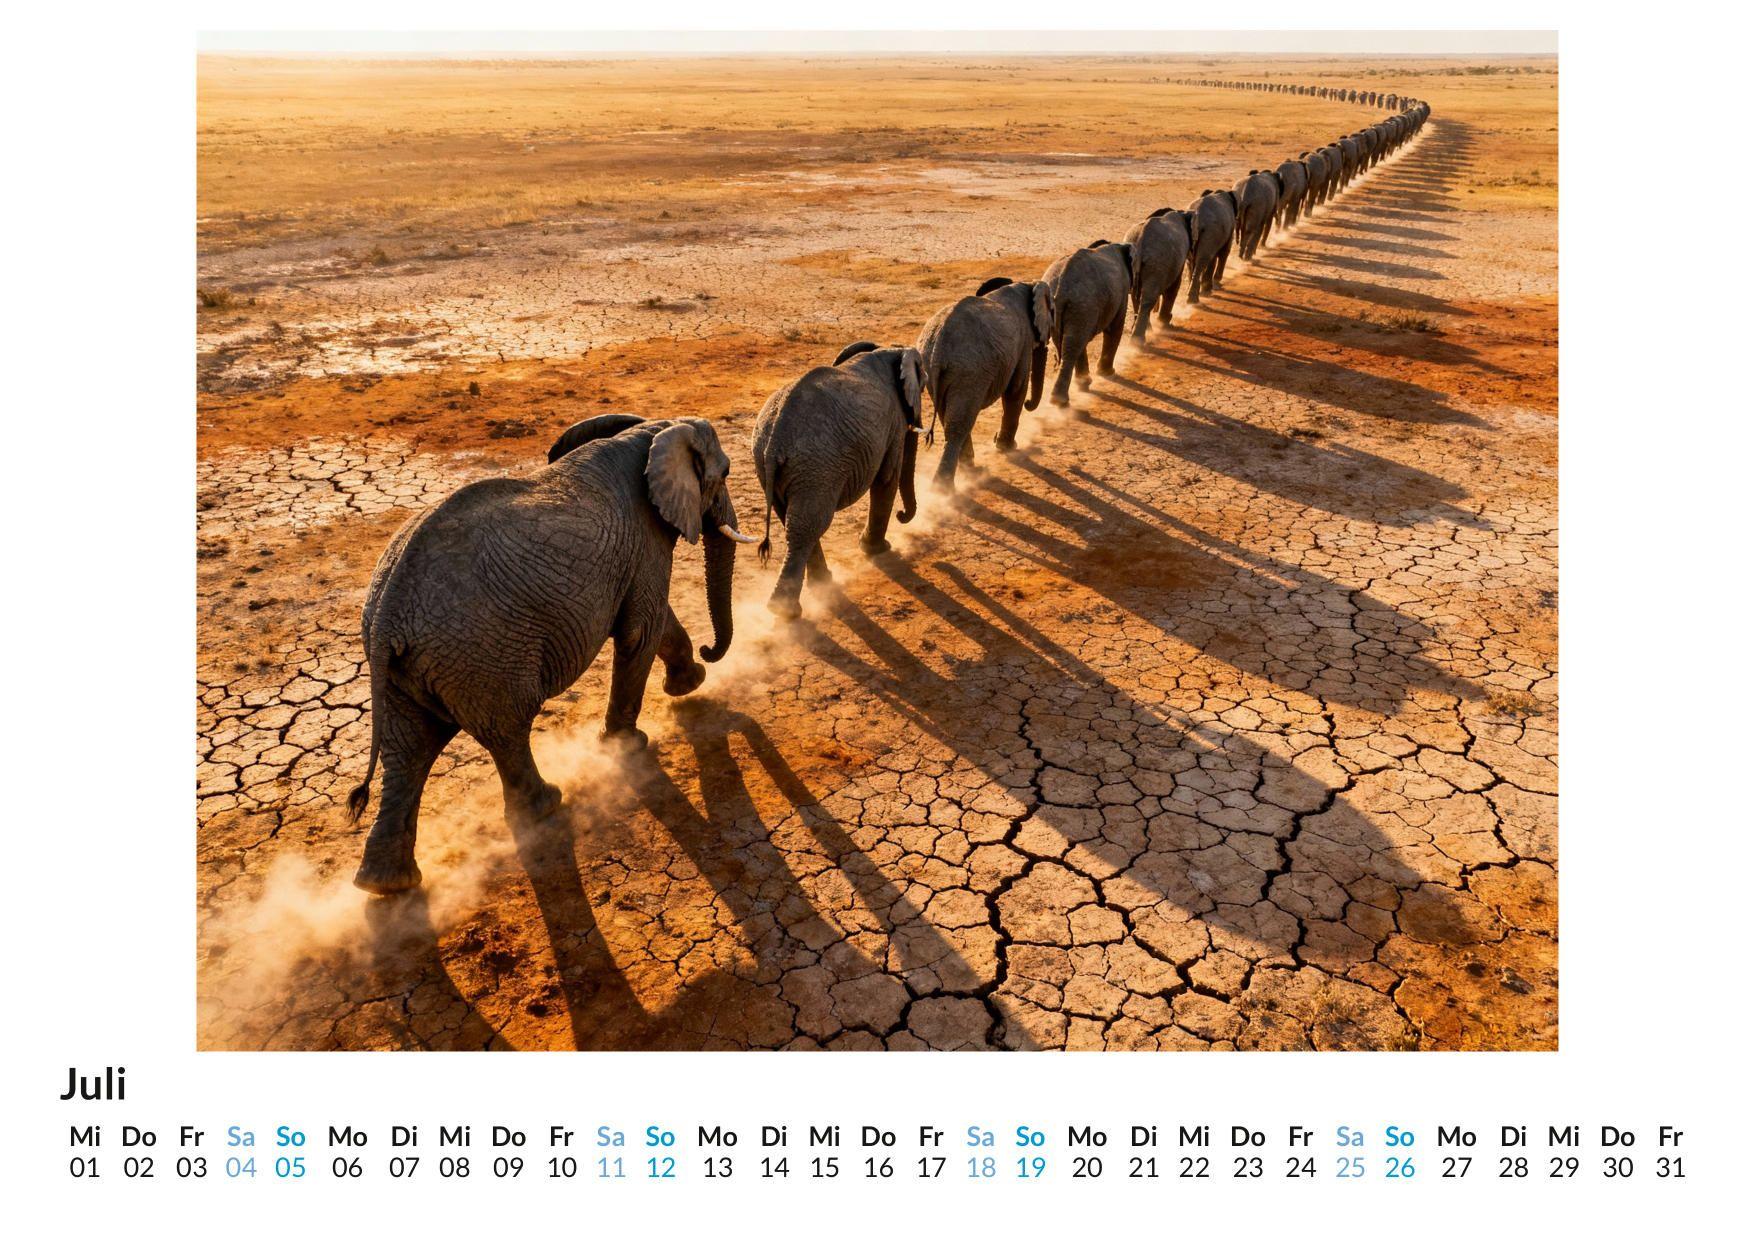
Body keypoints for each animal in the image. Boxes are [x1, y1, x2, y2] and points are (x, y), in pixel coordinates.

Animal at [347, 414, 753, 894]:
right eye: (726, 473)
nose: (712, 651)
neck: (652, 429)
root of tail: (386, 616)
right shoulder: (644, 536)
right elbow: (642, 630)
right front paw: (628, 747)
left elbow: (654, 620)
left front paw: (690, 685)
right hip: (483, 656)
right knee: (506, 730)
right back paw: (547, 807)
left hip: (411, 670)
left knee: (408, 751)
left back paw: (386, 885)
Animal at [752, 341, 925, 617]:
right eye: (925, 384)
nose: (902, 515)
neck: (889, 350)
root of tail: (775, 441)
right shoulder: (894, 422)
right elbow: (887, 478)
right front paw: (878, 551)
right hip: (816, 468)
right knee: (809, 525)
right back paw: (787, 612)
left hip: (774, 465)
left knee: (794, 521)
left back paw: (818, 586)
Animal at [915, 276, 1053, 490]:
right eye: (1053, 312)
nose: (994, 436)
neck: (1027, 284)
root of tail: (938, 348)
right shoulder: (1024, 339)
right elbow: (1016, 388)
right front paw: (1007, 448)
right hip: (969, 371)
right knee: (959, 425)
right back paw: (945, 489)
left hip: (934, 369)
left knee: (951, 419)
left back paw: (969, 472)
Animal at [1042, 239, 1134, 408]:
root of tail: (1061, 286)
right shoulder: (1122, 291)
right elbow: (1115, 328)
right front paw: (1108, 374)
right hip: (1083, 304)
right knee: (1074, 344)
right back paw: (1062, 400)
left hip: (1067, 308)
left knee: (1071, 342)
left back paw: (1074, 390)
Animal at [1123, 208, 1192, 339]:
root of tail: (1140, 241)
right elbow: (1174, 286)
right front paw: (1165, 324)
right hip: (1157, 261)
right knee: (1147, 298)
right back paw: (1138, 339)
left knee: (1137, 296)